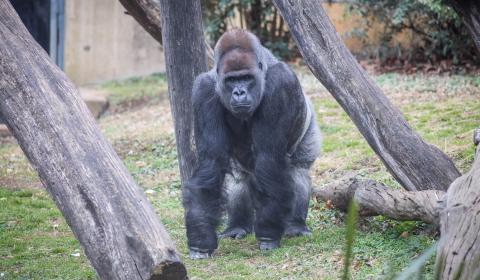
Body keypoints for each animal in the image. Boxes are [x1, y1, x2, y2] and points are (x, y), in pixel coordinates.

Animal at [184, 29, 322, 260]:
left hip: (308, 127)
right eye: (232, 80)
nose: (239, 92)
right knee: (238, 179)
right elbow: (211, 164)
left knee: (298, 170)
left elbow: (269, 159)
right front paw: (200, 238)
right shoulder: (203, 90)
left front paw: (267, 234)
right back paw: (237, 226)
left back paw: (295, 225)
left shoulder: (280, 83)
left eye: (246, 78)